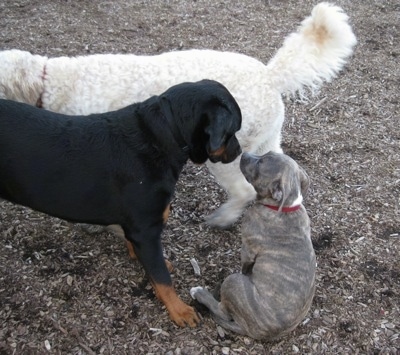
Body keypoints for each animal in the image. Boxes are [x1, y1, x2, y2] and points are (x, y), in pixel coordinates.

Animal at [0, 2, 356, 228]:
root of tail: (270, 75)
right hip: (266, 141)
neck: (50, 82)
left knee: (243, 191)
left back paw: (222, 219)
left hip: (224, 155)